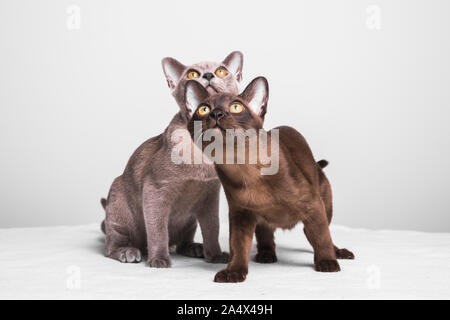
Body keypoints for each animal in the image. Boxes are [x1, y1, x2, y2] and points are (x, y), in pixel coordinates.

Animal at [100, 52, 244, 268]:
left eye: (221, 71)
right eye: (192, 74)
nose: (208, 75)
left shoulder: (210, 196)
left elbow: (213, 229)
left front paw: (216, 256)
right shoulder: (155, 191)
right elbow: (158, 230)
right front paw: (158, 260)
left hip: (189, 221)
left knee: (181, 241)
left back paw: (196, 248)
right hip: (121, 210)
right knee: (112, 245)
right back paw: (129, 252)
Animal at [185, 77, 354, 282]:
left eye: (236, 107)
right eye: (203, 109)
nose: (216, 113)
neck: (242, 166)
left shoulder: (311, 204)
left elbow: (322, 237)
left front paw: (327, 263)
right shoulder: (241, 214)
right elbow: (237, 245)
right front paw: (234, 272)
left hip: (324, 204)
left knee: (315, 232)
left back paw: (338, 253)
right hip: (261, 218)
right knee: (266, 234)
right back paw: (266, 255)